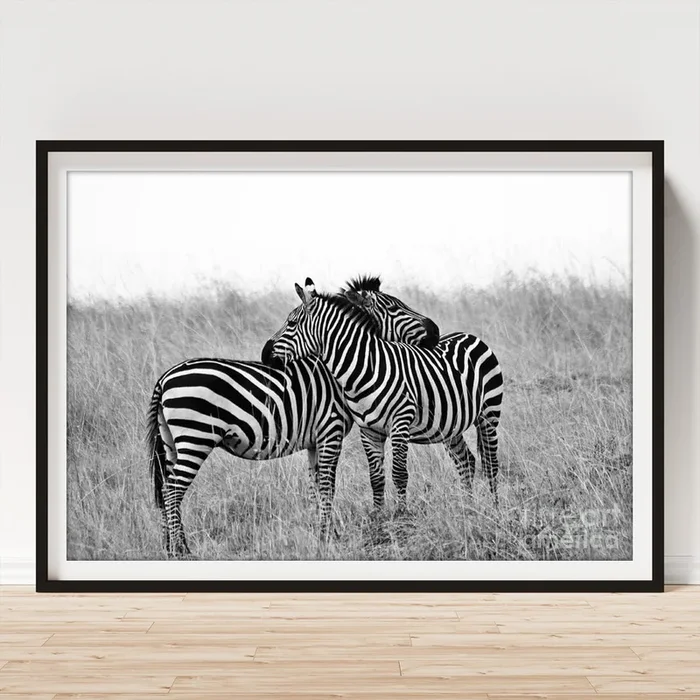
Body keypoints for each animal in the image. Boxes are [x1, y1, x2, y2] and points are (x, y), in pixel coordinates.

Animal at [146, 290, 439, 558]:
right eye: (394, 307)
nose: (435, 331)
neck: (337, 373)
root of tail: (165, 377)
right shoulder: (330, 430)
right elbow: (328, 485)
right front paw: (327, 535)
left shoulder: (315, 440)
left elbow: (315, 486)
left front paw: (324, 533)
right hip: (195, 438)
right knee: (172, 491)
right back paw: (181, 550)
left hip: (171, 443)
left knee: (165, 488)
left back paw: (168, 548)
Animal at [263, 278, 504, 513]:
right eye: (393, 307)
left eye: (291, 323)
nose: (265, 354)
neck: (364, 370)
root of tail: (468, 335)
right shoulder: (368, 430)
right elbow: (376, 478)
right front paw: (378, 518)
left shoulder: (400, 423)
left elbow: (399, 473)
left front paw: (401, 515)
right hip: (450, 424)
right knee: (466, 461)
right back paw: (468, 509)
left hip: (488, 414)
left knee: (491, 464)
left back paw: (495, 510)